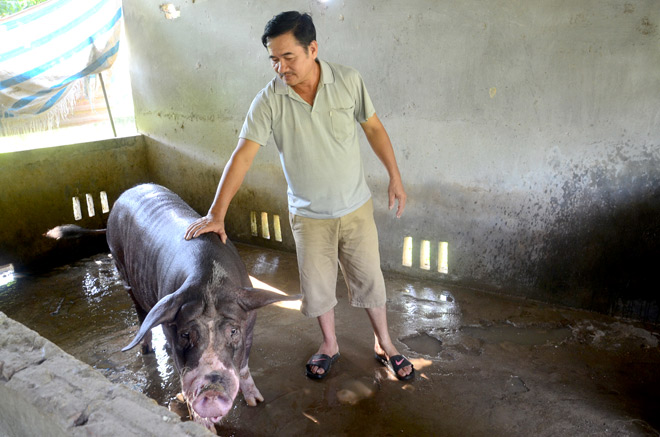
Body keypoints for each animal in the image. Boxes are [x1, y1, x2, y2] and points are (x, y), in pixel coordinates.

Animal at [105, 183, 300, 430]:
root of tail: (129, 191)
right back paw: (147, 349)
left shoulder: (249, 325)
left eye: (233, 331)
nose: (211, 390)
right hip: (121, 268)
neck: (210, 282)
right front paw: (205, 428)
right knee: (141, 313)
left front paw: (256, 401)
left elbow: (244, 367)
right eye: (185, 334)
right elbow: (181, 372)